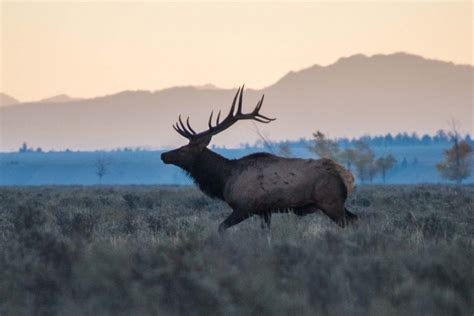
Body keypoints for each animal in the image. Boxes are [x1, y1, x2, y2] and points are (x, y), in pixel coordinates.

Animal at [161, 86, 358, 232]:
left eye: (185, 150)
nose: (163, 155)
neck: (224, 179)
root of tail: (347, 176)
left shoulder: (244, 207)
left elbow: (221, 227)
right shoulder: (265, 211)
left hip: (331, 202)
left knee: (350, 222)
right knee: (356, 218)